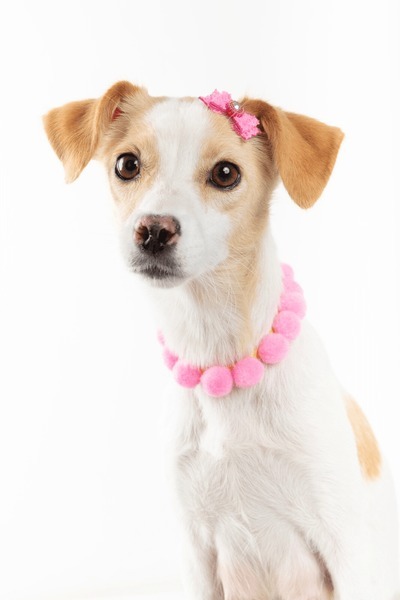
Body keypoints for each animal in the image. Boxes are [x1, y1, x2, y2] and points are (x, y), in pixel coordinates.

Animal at [44, 81, 399, 599]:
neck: (222, 359)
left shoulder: (346, 547)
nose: (153, 230)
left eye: (226, 173)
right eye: (127, 164)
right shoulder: (197, 555)